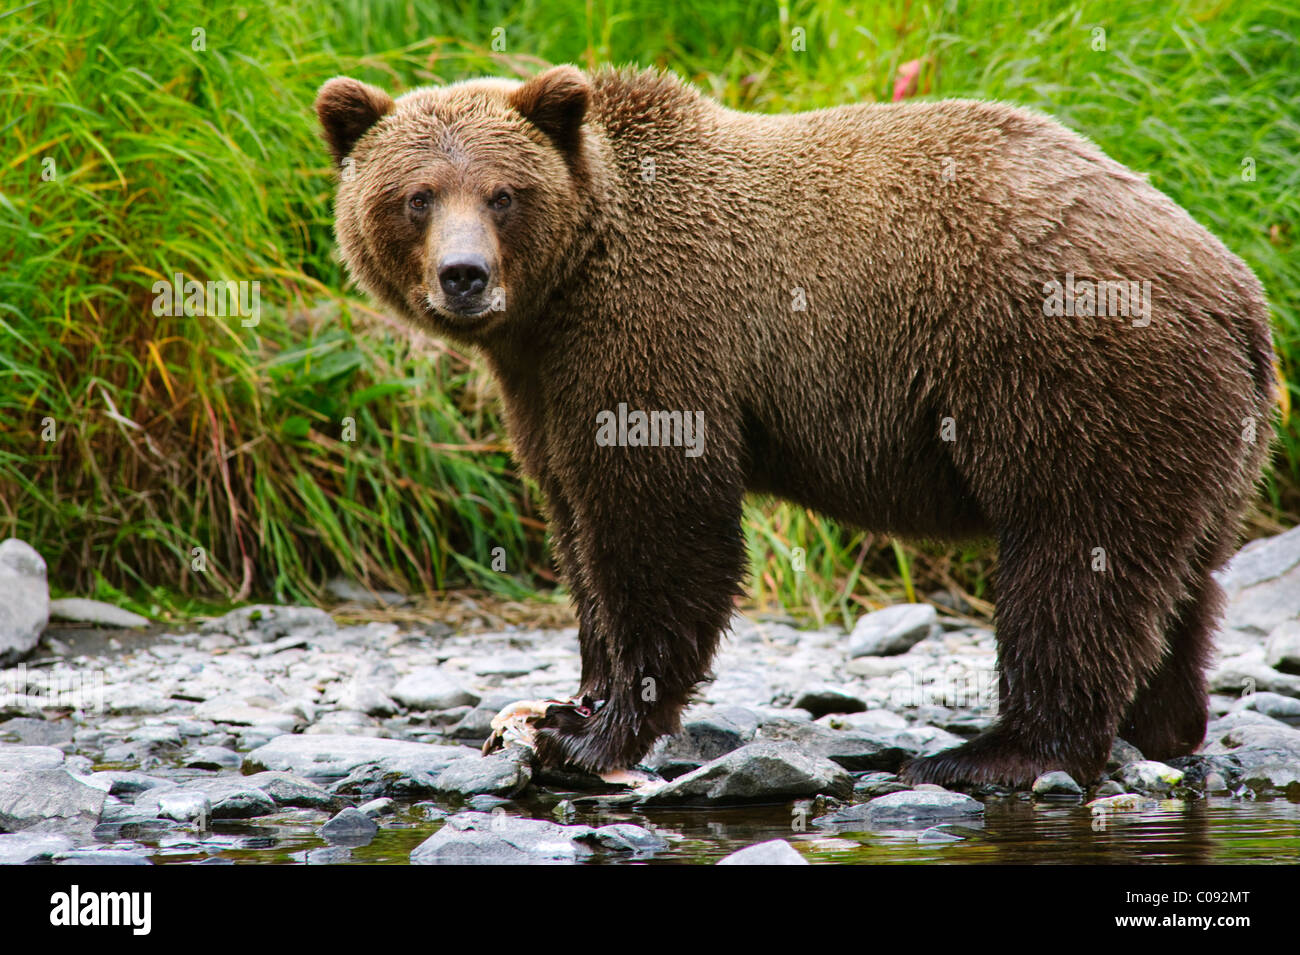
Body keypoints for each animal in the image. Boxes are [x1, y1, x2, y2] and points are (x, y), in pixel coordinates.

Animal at [317, 63, 1279, 789]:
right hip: (1204, 431)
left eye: (502, 194)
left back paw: (999, 750)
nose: (465, 275)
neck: (561, 293)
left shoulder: (656, 331)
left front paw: (592, 733)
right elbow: (576, 522)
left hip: (1071, 378)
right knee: (1182, 577)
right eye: (417, 195)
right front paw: (564, 699)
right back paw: (1164, 722)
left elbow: (663, 526)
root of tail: (1240, 290)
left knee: (1071, 561)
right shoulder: (544, 382)